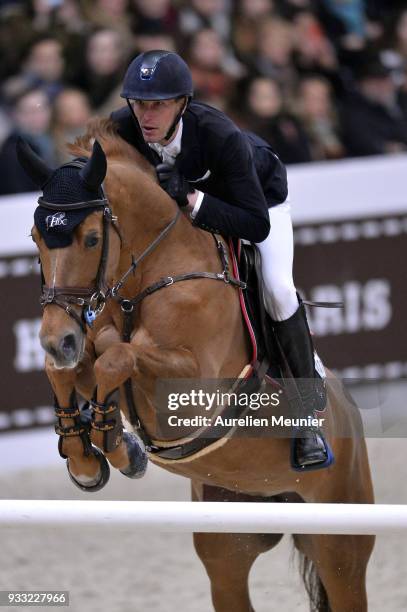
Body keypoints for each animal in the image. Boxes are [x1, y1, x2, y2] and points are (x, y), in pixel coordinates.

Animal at [18, 119, 376, 612]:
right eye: (36, 239)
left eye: (91, 239)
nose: (57, 341)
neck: (148, 273)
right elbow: (75, 368)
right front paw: (88, 455)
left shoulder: (194, 388)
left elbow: (118, 357)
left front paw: (115, 447)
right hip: (227, 541)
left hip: (340, 542)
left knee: (344, 576)